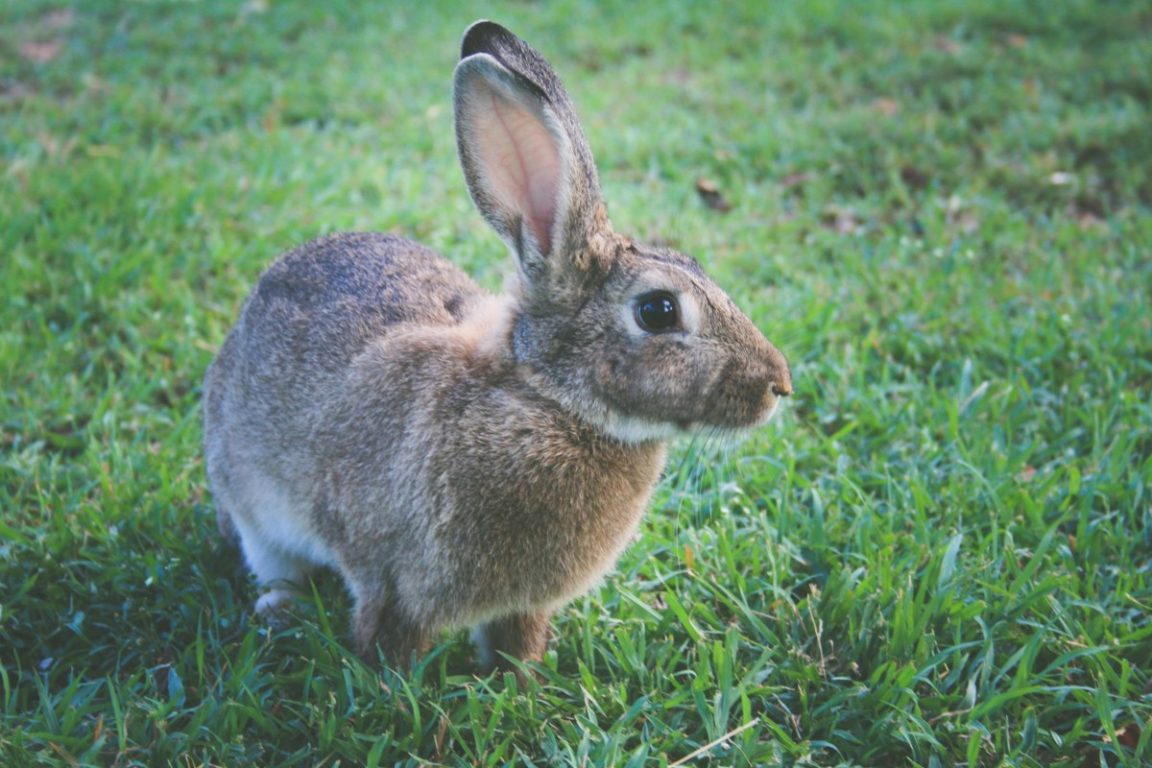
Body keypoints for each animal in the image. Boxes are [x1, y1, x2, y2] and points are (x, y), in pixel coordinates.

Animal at [202, 19, 792, 673]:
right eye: (658, 311)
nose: (779, 384)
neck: (548, 399)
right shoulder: (393, 582)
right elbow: (388, 639)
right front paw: (392, 683)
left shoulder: (524, 604)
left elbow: (517, 642)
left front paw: (521, 679)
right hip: (250, 501)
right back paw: (279, 606)